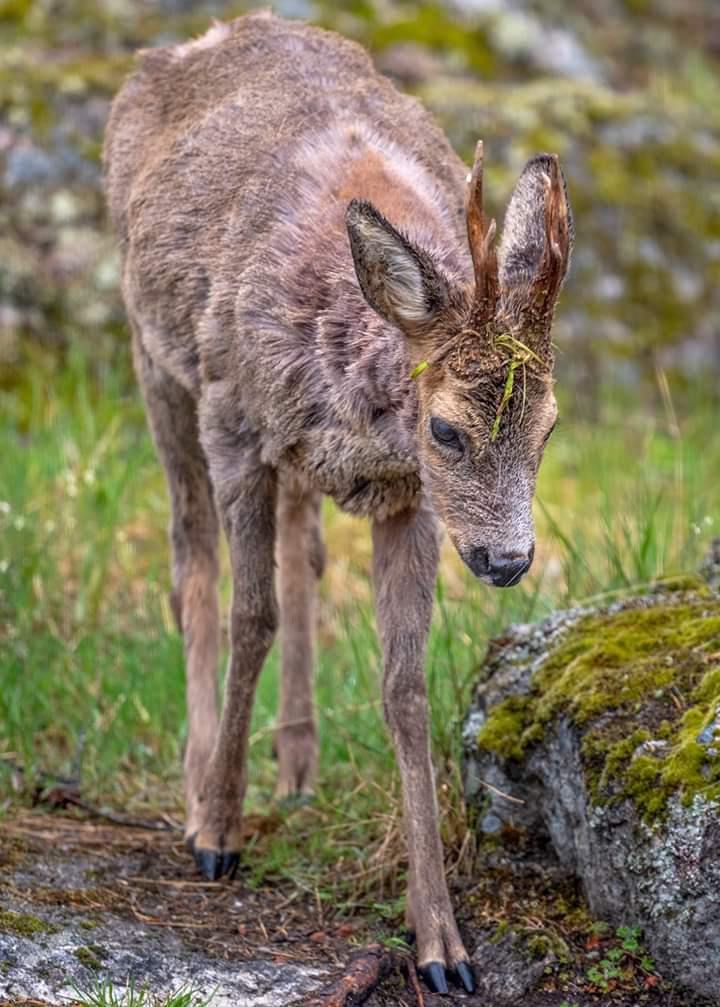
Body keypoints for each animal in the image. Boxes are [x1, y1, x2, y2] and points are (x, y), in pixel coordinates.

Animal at [103, 11, 572, 994]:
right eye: (447, 430)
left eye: (549, 427)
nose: (508, 559)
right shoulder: (234, 422)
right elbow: (250, 614)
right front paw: (218, 830)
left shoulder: (409, 503)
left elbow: (404, 682)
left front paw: (442, 943)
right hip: (154, 358)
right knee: (190, 557)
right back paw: (202, 779)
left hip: (286, 458)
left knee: (304, 554)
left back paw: (299, 766)